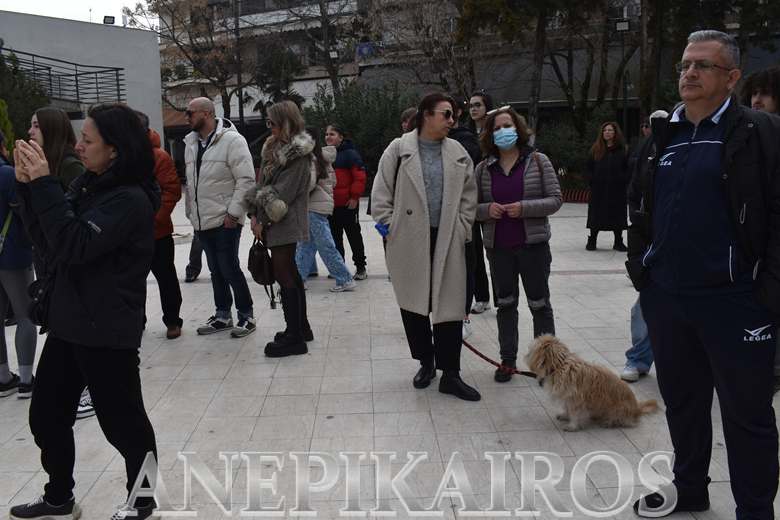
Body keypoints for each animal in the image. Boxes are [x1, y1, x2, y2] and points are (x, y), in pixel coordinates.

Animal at [525, 335, 658, 431]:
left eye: (531, 349)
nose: (525, 355)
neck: (559, 366)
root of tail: (637, 409)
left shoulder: (575, 399)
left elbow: (574, 413)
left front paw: (572, 426)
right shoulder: (567, 397)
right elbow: (567, 408)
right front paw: (565, 415)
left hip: (618, 410)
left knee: (622, 421)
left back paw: (609, 422)